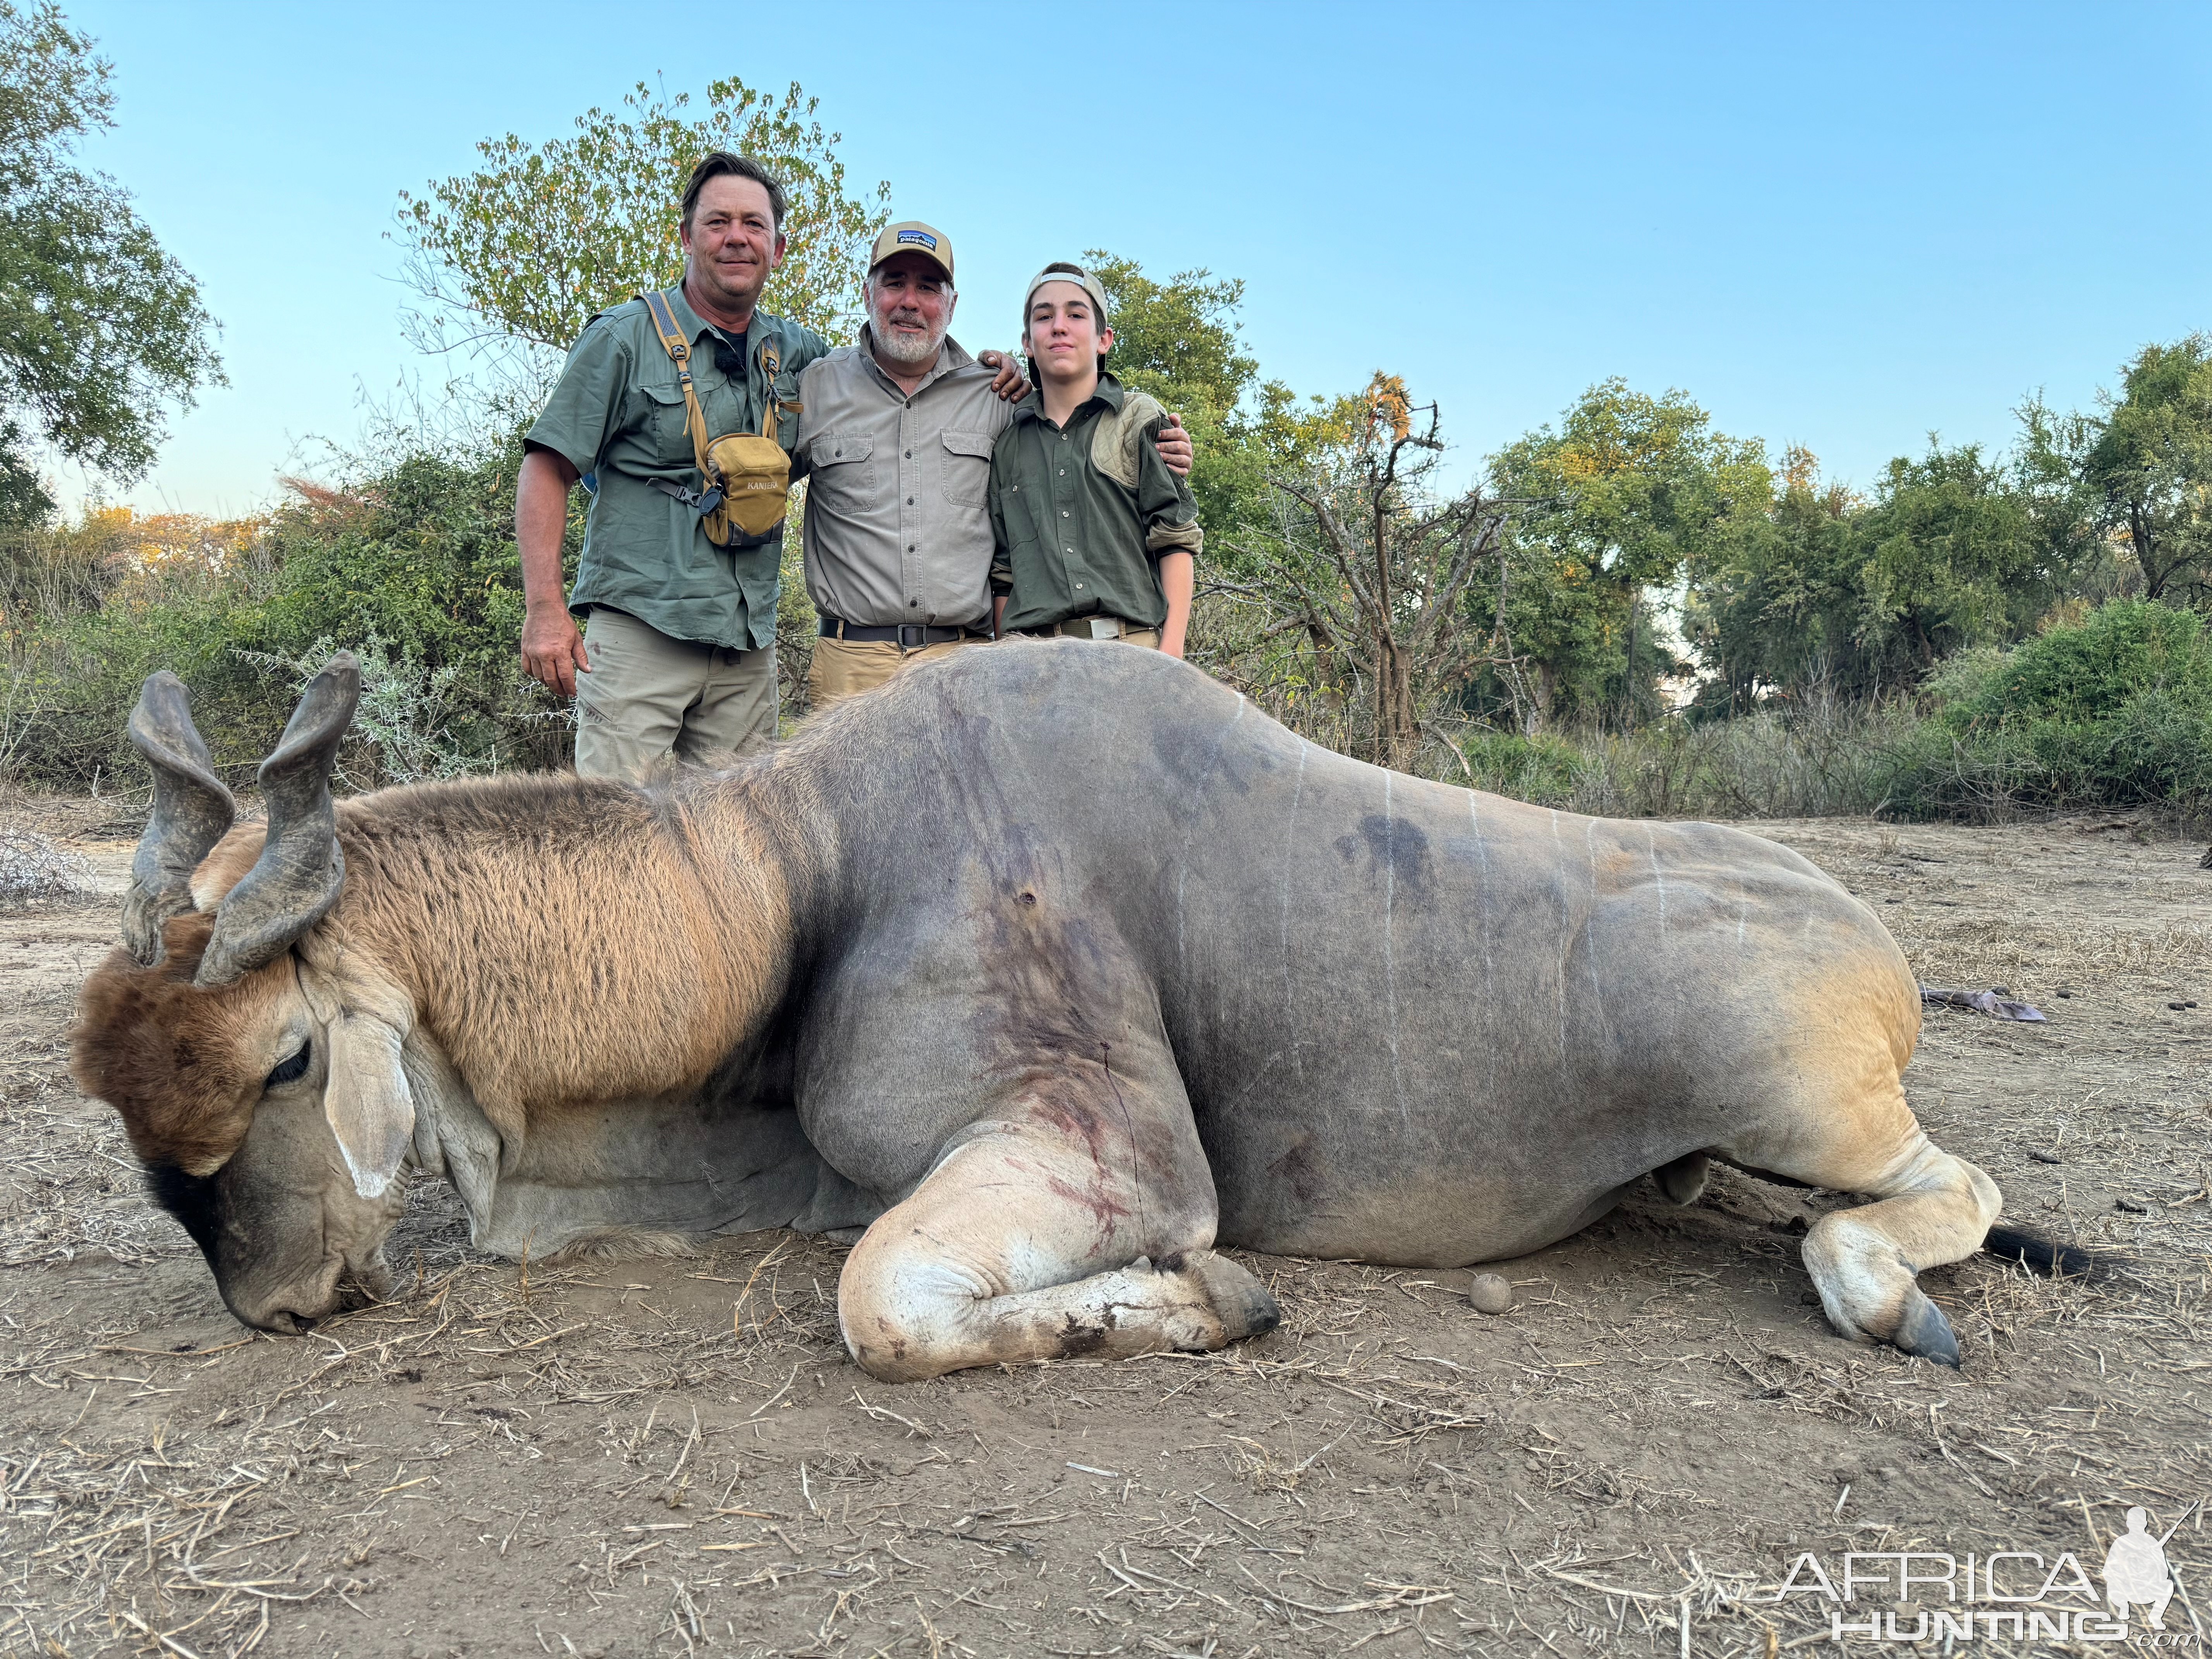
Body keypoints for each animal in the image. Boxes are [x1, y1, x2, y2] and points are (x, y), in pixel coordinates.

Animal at [78, 641, 2044, 1380]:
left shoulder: (1117, 1160)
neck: (802, 868)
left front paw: (1202, 1303)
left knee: (1950, 1193)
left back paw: (1881, 1295)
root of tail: (1870, 937)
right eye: (116, 1101)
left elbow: (886, 1307)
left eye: (288, 1057)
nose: (275, 1300)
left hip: (1793, 1092)